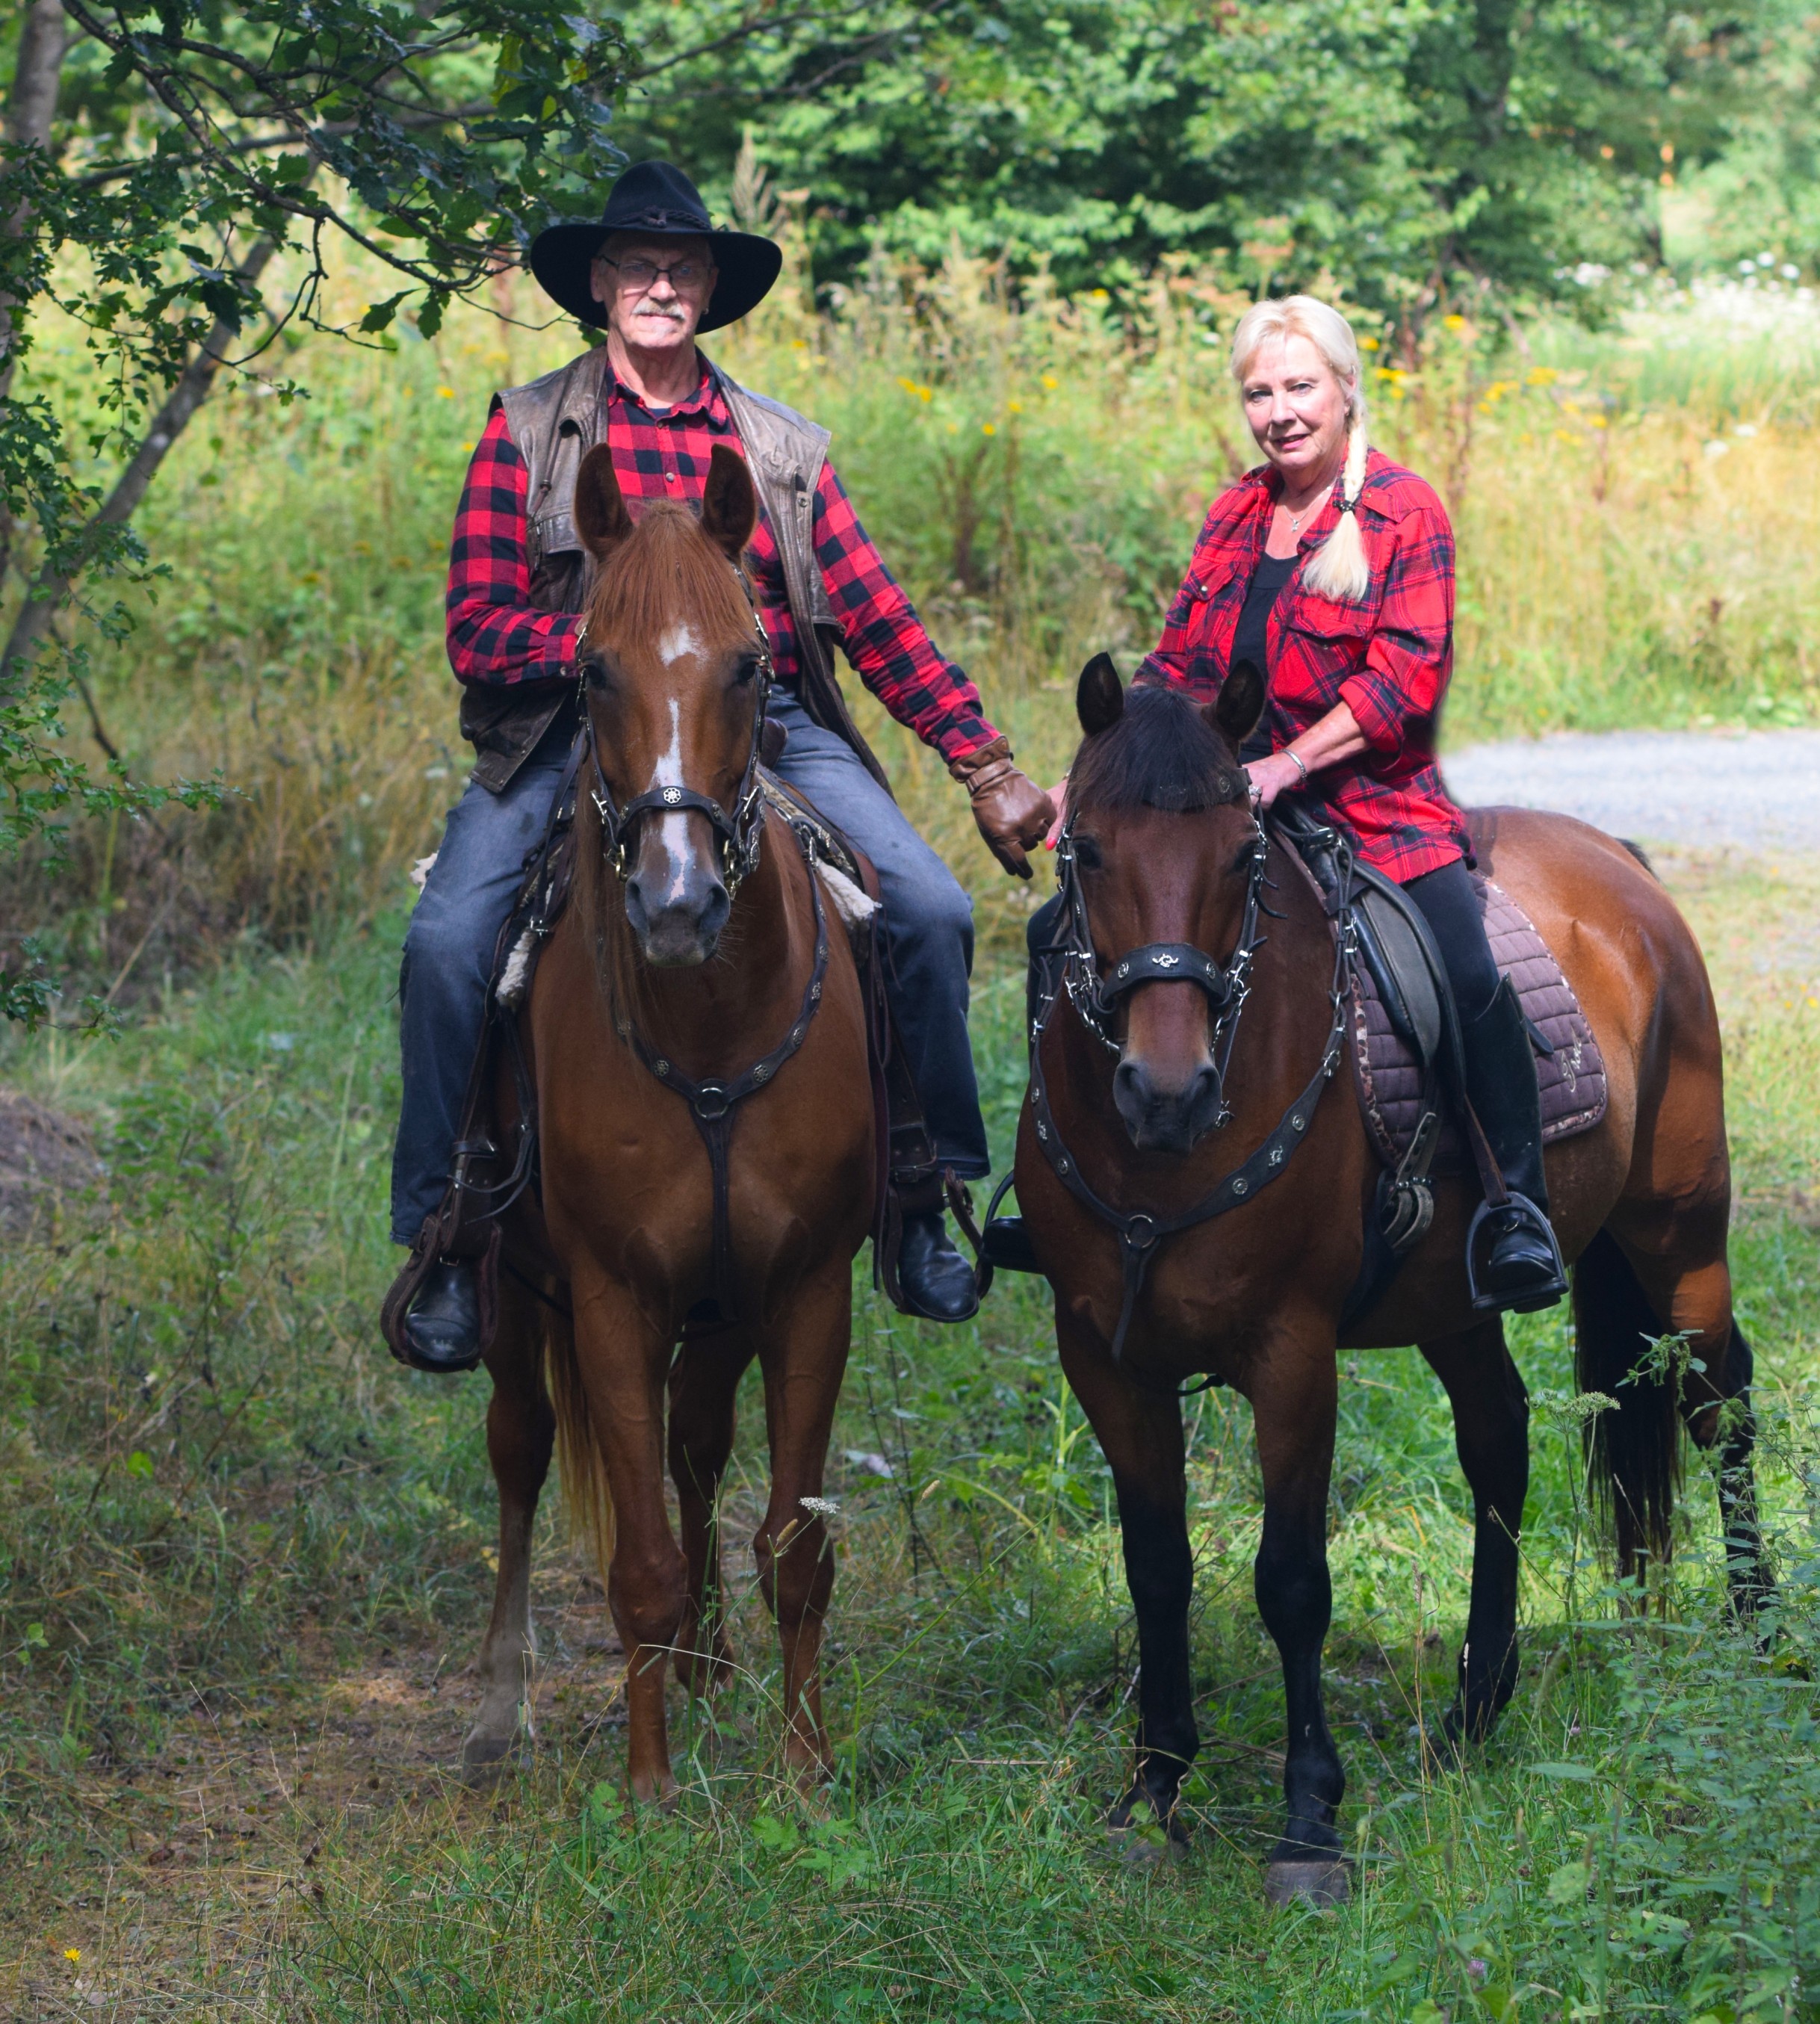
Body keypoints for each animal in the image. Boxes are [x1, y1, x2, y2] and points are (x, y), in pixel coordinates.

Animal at [463, 435, 874, 1797]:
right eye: (591, 670)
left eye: (752, 663)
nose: (678, 899)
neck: (709, 1030)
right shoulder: (606, 1296)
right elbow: (632, 1555)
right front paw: (646, 1790)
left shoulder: (804, 1285)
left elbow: (795, 1542)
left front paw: (801, 1768)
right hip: (504, 1279)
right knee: (523, 1442)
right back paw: (506, 1704)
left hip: (724, 1299)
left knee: (696, 1439)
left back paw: (707, 1662)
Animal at [1016, 655, 1773, 1902]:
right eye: (1084, 851)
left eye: (1243, 857)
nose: (1166, 1089)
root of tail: (1623, 864)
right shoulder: (1103, 1354)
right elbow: (1156, 1566)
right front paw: (1155, 1787)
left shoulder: (1291, 1351)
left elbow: (1290, 1579)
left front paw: (1308, 1826)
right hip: (1454, 1302)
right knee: (1501, 1438)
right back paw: (1476, 1707)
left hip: (1681, 1235)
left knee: (1721, 1407)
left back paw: (1758, 1636)